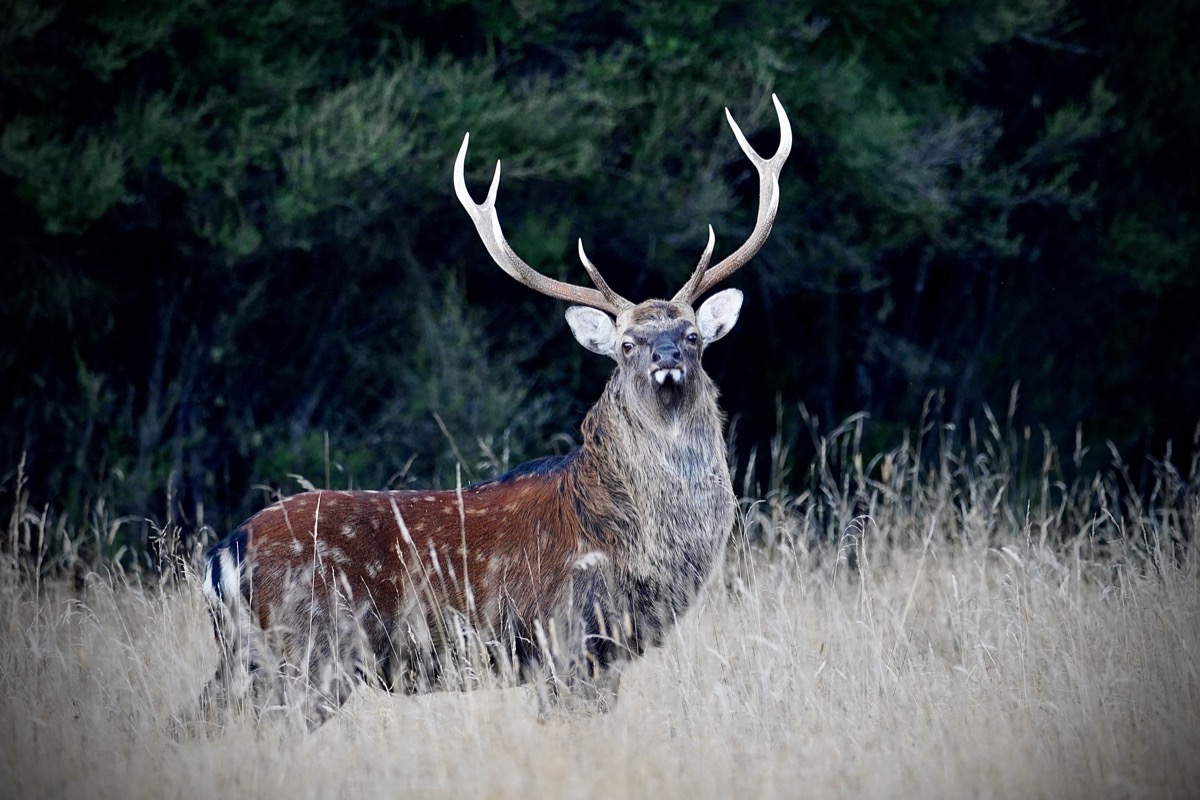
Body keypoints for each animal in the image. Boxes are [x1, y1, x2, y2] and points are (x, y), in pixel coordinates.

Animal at [197, 95, 791, 731]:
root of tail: (224, 554)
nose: (667, 359)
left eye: (693, 336)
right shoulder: (566, 638)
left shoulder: (605, 657)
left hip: (250, 659)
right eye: (626, 343)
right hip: (312, 651)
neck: (628, 540)